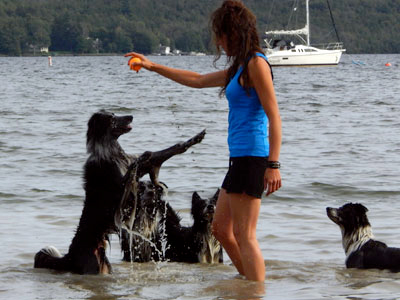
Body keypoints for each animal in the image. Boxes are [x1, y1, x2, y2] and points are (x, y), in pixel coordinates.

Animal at [32, 110, 205, 274]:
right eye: (111, 118)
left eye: (114, 113)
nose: (131, 116)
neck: (111, 152)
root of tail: (70, 256)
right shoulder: (121, 189)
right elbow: (140, 161)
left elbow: (161, 153)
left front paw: (193, 140)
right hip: (92, 266)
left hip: (104, 266)